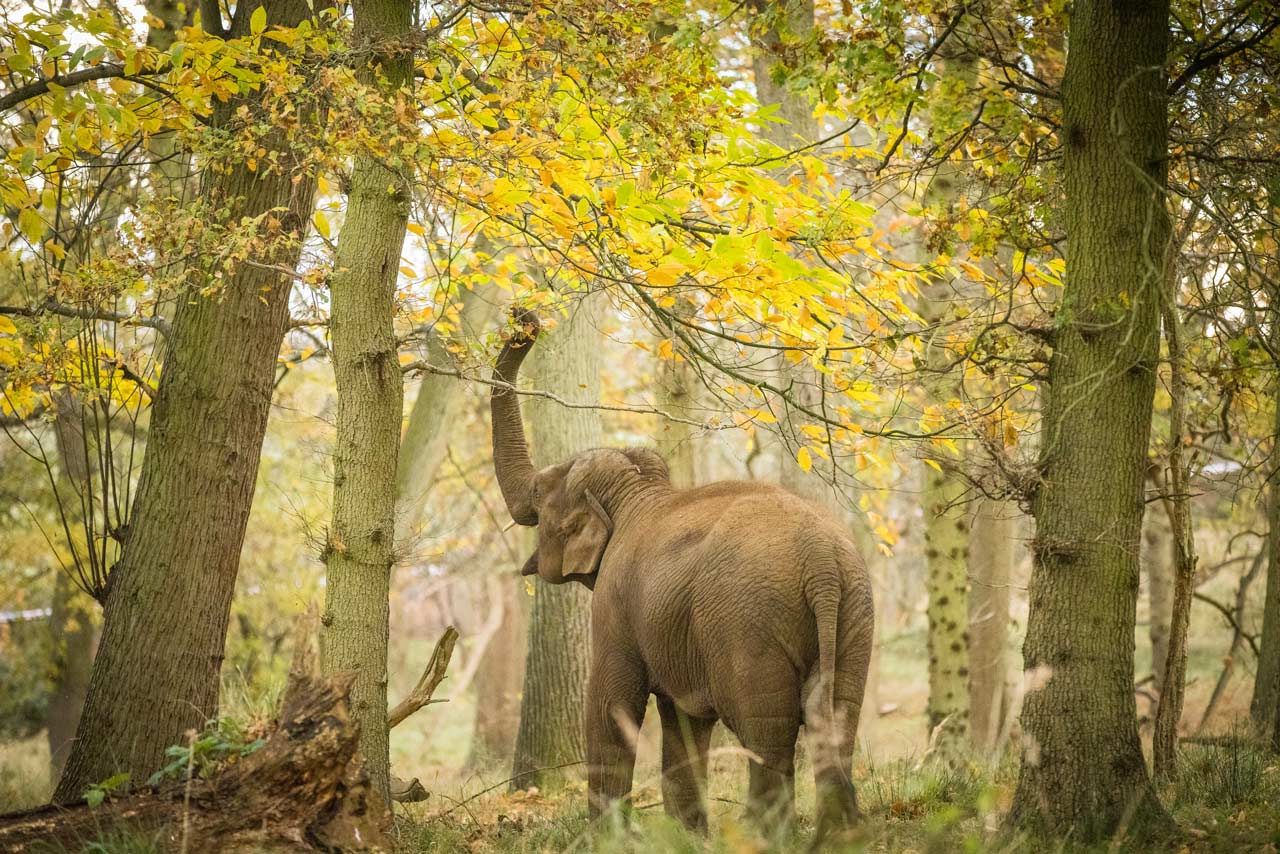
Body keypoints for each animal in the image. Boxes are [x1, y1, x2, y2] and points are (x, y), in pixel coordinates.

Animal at [491, 308, 880, 834]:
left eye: (539, 494)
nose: (524, 313)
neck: (636, 490)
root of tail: (821, 561)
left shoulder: (614, 606)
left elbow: (612, 702)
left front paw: (607, 837)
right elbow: (682, 722)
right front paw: (687, 836)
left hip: (749, 627)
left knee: (767, 734)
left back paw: (763, 835)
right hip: (854, 619)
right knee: (834, 718)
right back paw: (838, 832)